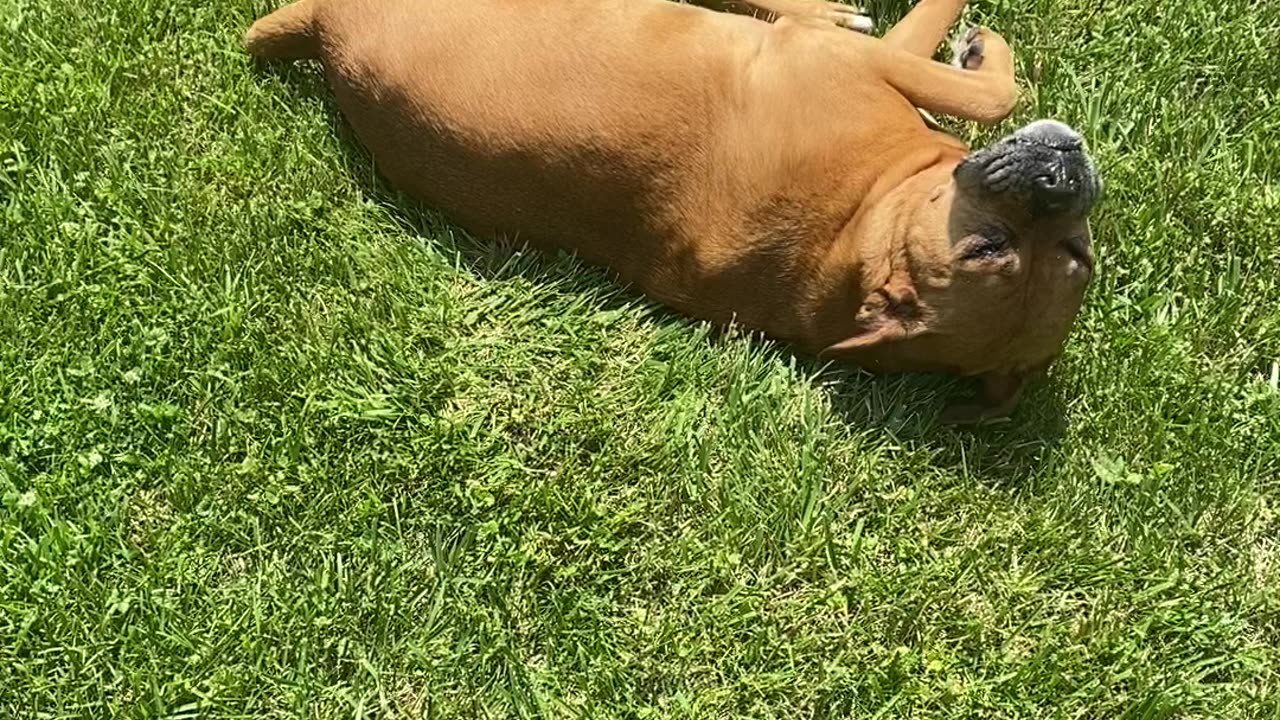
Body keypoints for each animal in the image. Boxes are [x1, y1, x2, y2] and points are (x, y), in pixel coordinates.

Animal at [247, 0, 1100, 420]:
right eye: (987, 247)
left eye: (1070, 256)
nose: (1062, 177)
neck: (855, 221)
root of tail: (324, 28)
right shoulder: (857, 64)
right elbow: (992, 91)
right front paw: (982, 56)